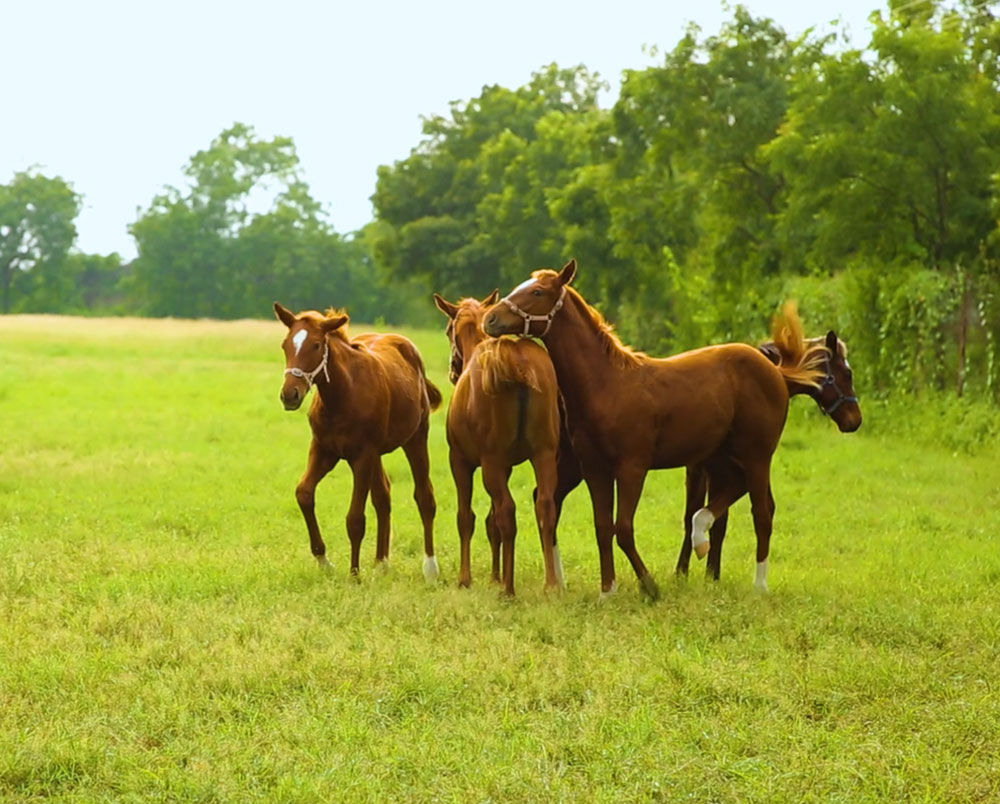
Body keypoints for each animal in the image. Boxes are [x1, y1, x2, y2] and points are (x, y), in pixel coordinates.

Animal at [273, 302, 441, 580]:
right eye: (285, 345)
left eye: (316, 345)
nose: (289, 395)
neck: (343, 395)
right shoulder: (324, 450)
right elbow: (304, 494)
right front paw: (324, 561)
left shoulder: (362, 456)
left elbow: (355, 519)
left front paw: (354, 574)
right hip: (378, 454)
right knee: (383, 496)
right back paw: (381, 562)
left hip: (416, 437)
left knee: (424, 496)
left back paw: (429, 568)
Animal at [434, 290, 565, 596]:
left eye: (447, 330)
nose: (452, 372)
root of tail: (516, 361)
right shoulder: (506, 466)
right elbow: (491, 522)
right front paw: (495, 575)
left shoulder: (462, 462)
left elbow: (466, 517)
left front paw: (465, 578)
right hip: (543, 455)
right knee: (545, 507)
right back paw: (550, 584)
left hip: (491, 464)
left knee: (507, 511)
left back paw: (509, 589)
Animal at [483, 260, 826, 597]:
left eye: (537, 291)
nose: (491, 319)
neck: (607, 385)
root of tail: (776, 371)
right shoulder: (595, 468)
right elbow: (603, 526)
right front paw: (607, 591)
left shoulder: (632, 467)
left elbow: (623, 528)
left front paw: (649, 586)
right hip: (722, 455)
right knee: (732, 494)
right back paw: (701, 538)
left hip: (757, 454)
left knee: (762, 513)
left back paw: (759, 585)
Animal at [674, 302, 863, 586]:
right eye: (847, 373)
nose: (855, 420)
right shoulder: (718, 467)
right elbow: (705, 515)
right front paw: (687, 572)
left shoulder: (718, 468)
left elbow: (716, 518)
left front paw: (709, 575)